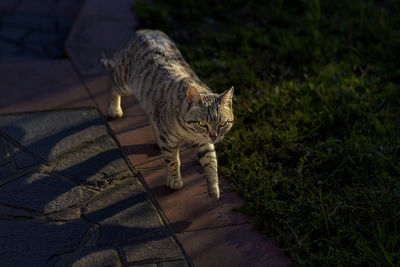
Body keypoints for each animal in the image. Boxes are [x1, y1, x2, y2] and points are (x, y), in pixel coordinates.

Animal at [101, 30, 234, 200]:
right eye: (202, 123)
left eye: (222, 124)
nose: (214, 136)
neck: (188, 131)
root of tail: (142, 31)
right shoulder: (170, 139)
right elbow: (173, 161)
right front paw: (174, 180)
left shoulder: (202, 142)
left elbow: (211, 161)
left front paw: (214, 187)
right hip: (124, 81)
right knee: (113, 87)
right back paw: (114, 109)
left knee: (152, 117)